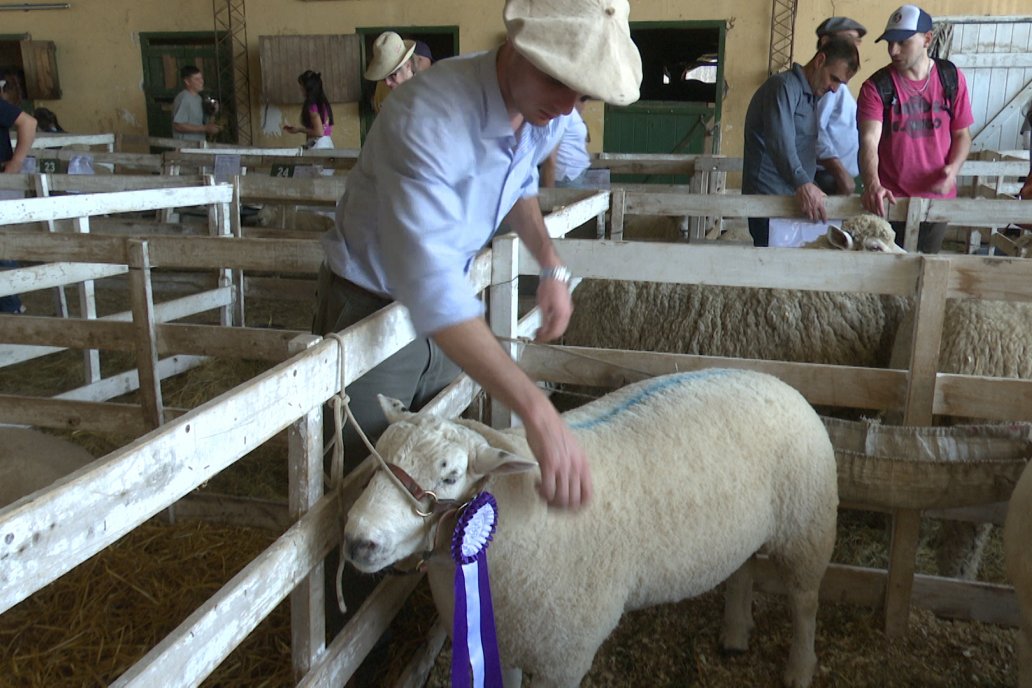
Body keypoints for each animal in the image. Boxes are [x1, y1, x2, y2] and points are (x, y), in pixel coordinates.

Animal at [342, 371, 833, 688]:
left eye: (449, 476)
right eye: (377, 457)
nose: (357, 539)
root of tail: (773, 378)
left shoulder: (563, 654)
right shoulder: (505, 635)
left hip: (808, 525)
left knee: (806, 601)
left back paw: (799, 669)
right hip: (749, 528)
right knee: (743, 568)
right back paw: (735, 633)